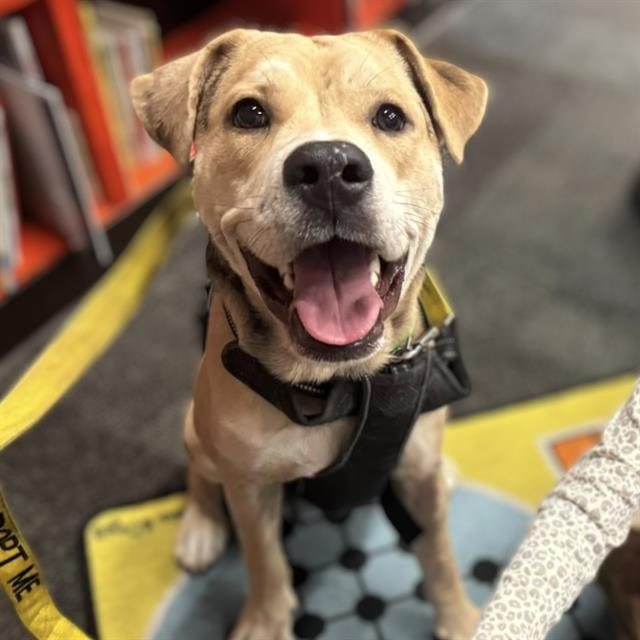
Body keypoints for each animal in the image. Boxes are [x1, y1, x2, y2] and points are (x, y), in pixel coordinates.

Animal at [132, 30, 488, 640]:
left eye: (390, 116)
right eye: (249, 113)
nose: (329, 167)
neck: (342, 384)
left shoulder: (414, 475)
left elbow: (438, 552)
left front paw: (461, 620)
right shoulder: (250, 488)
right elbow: (265, 560)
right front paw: (264, 621)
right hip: (196, 429)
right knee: (200, 472)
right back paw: (200, 527)